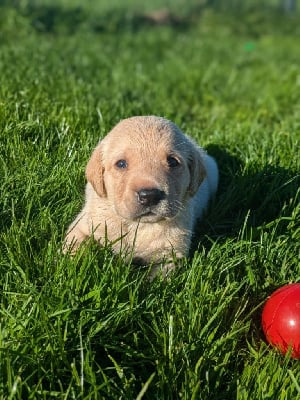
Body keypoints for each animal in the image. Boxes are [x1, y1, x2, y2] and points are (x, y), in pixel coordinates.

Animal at [63, 115, 218, 276]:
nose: (150, 196)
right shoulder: (83, 226)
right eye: (121, 163)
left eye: (172, 161)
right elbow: (74, 249)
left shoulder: (171, 254)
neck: (137, 225)